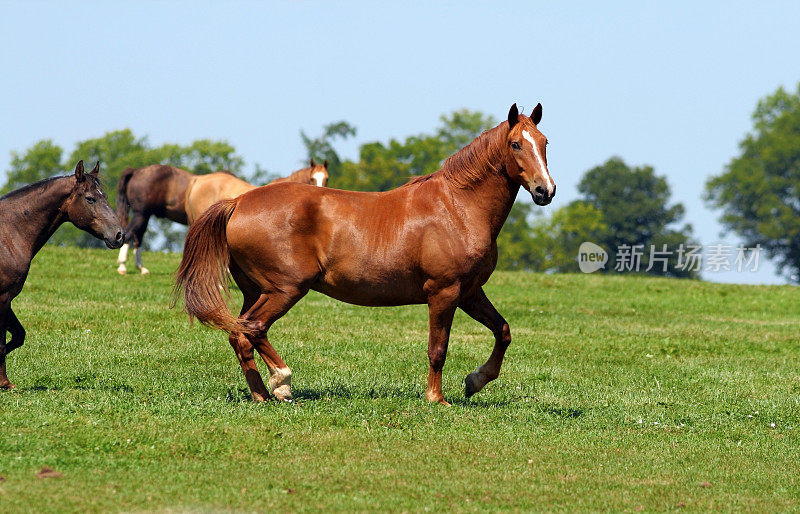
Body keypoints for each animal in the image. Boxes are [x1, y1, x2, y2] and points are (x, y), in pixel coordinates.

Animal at [0, 162, 124, 386]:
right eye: (90, 198)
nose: (119, 235)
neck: (8, 235)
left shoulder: (8, 299)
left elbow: (18, 336)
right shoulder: (3, 298)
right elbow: (1, 343)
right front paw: (4, 383)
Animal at [115, 161, 328, 274]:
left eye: (325, 178)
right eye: (312, 178)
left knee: (137, 237)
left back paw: (140, 267)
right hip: (143, 214)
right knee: (130, 234)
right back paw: (123, 266)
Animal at [173, 102, 556, 402]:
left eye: (544, 142)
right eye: (516, 144)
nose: (545, 190)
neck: (458, 206)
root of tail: (238, 202)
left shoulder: (470, 291)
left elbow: (503, 331)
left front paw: (474, 382)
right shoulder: (444, 292)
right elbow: (438, 348)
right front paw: (437, 398)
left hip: (257, 290)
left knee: (239, 334)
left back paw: (262, 395)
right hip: (285, 289)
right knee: (253, 329)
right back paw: (282, 382)